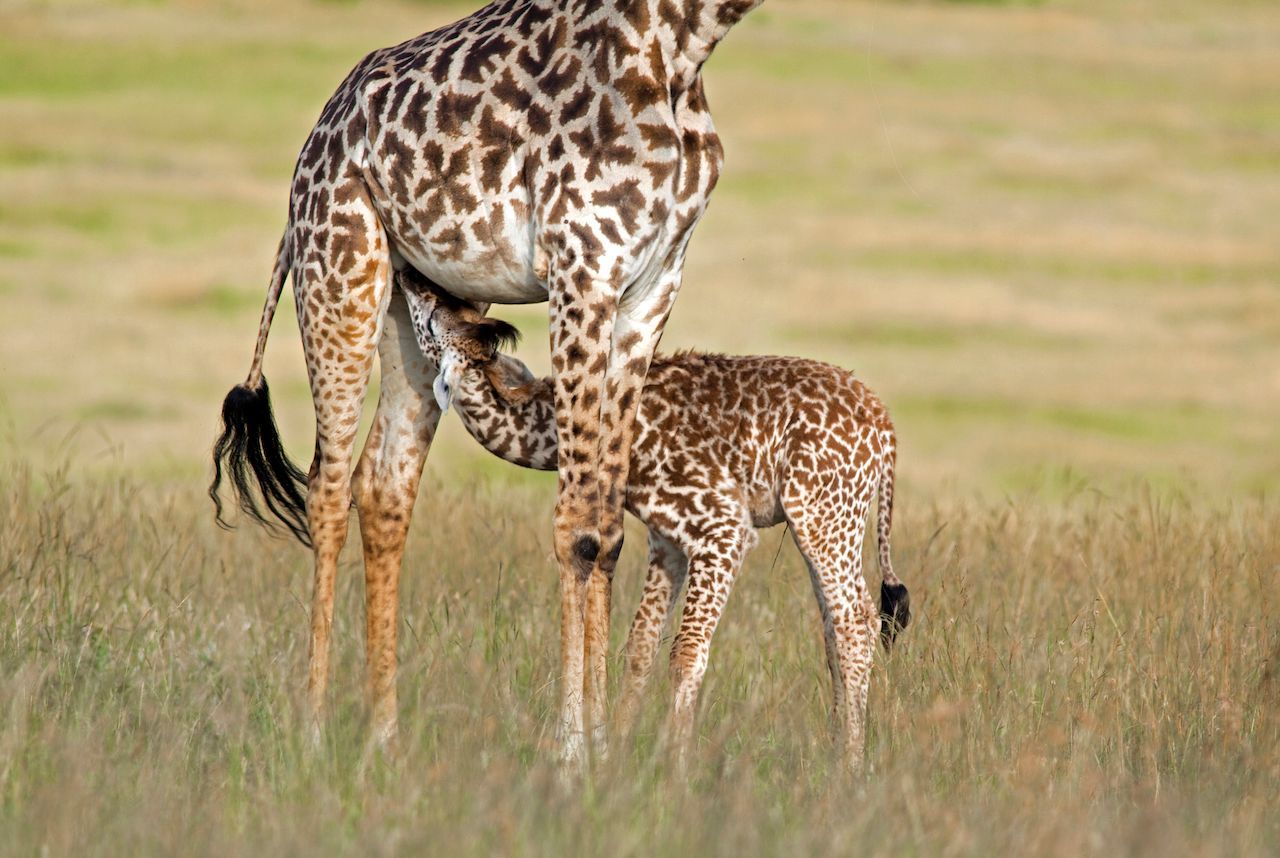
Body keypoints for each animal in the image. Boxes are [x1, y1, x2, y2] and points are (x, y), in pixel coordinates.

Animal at [208, 0, 757, 768]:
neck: (683, 43)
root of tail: (313, 146)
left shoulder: (651, 284)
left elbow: (609, 527)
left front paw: (605, 752)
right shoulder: (582, 265)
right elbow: (578, 528)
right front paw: (573, 754)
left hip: (412, 298)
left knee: (384, 486)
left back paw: (386, 739)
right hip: (339, 266)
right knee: (328, 486)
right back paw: (313, 736)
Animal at [399, 272, 911, 768]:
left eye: (433, 316)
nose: (410, 278)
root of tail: (886, 431)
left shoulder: (722, 529)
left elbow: (686, 651)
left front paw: (673, 767)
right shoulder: (667, 539)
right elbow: (640, 646)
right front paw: (621, 750)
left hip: (824, 515)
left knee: (856, 624)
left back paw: (850, 765)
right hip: (827, 520)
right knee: (838, 625)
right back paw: (836, 749)